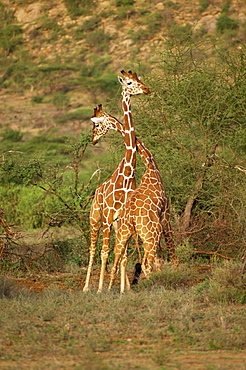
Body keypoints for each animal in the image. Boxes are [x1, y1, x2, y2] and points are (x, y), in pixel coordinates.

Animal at [83, 71, 150, 294]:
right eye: (129, 82)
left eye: (139, 80)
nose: (146, 89)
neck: (127, 174)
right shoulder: (107, 218)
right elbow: (105, 252)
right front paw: (101, 289)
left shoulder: (123, 219)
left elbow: (124, 255)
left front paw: (122, 289)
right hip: (95, 219)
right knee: (93, 250)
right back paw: (87, 287)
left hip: (112, 224)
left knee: (118, 251)